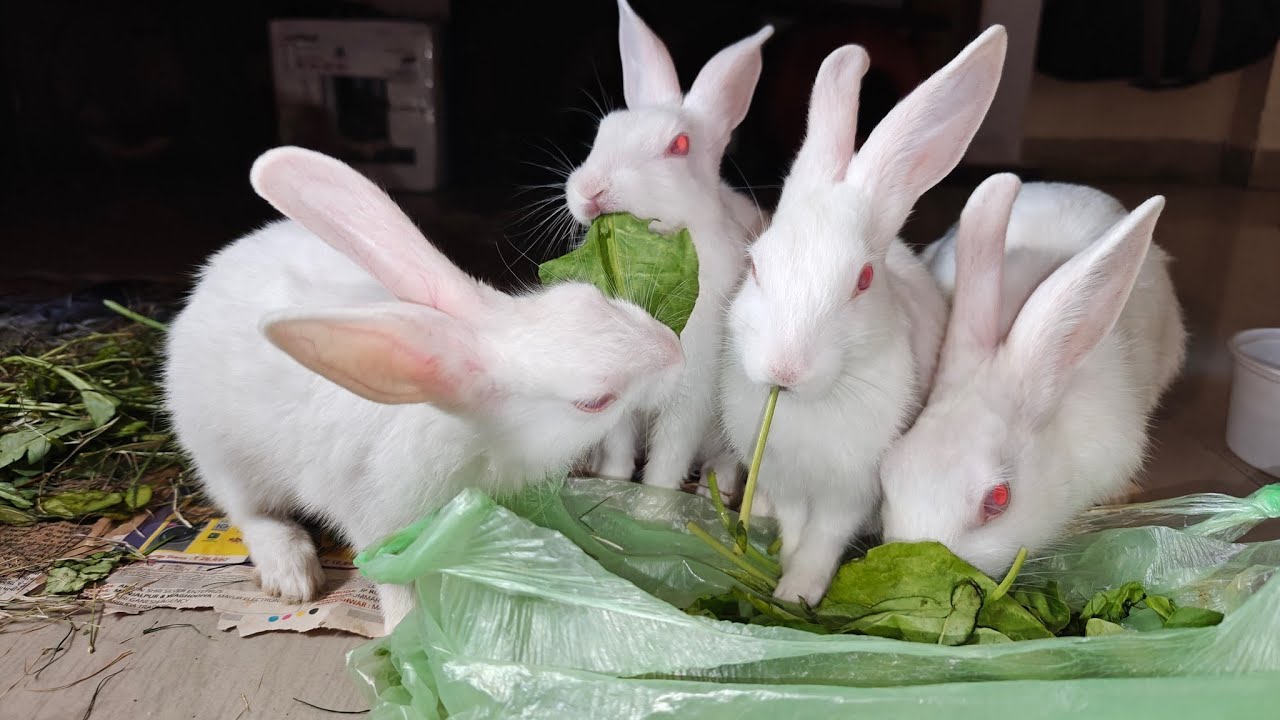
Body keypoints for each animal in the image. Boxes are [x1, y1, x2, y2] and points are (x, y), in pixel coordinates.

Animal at [163, 147, 685, 634]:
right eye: (594, 402)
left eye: (589, 297)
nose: (675, 350)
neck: (475, 434)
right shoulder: (376, 518)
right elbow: (393, 581)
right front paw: (402, 631)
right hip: (225, 458)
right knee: (250, 513)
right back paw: (291, 572)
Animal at [563, 0, 773, 494]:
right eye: (603, 131)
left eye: (679, 145)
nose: (590, 191)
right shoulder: (619, 398)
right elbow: (618, 448)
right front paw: (611, 481)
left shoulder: (691, 401)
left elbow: (667, 460)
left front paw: (654, 499)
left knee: (726, 458)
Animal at [719, 26, 1008, 604]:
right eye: (755, 264)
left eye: (863, 280)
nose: (784, 370)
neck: (810, 405)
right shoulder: (787, 480)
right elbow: (793, 525)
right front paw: (786, 576)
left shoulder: (849, 494)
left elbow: (822, 540)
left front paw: (796, 593)